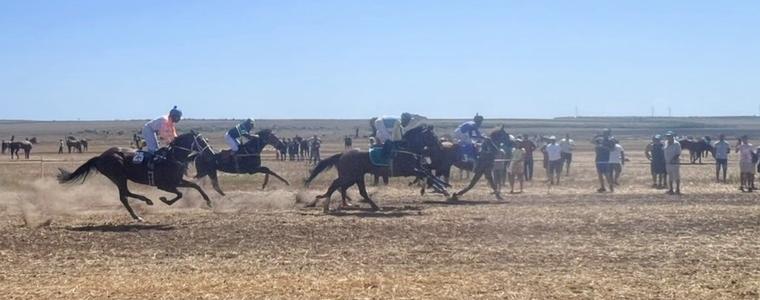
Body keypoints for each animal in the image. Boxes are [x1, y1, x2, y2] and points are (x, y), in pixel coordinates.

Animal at [57, 132, 212, 221]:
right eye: (201, 141)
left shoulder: (177, 180)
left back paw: (140, 209)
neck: (172, 157)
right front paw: (164, 200)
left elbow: (195, 186)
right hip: (118, 176)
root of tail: (100, 156)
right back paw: (142, 208)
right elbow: (179, 194)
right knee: (124, 195)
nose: (209, 152)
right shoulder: (164, 185)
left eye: (206, 140)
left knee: (125, 194)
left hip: (120, 178)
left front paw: (209, 201)